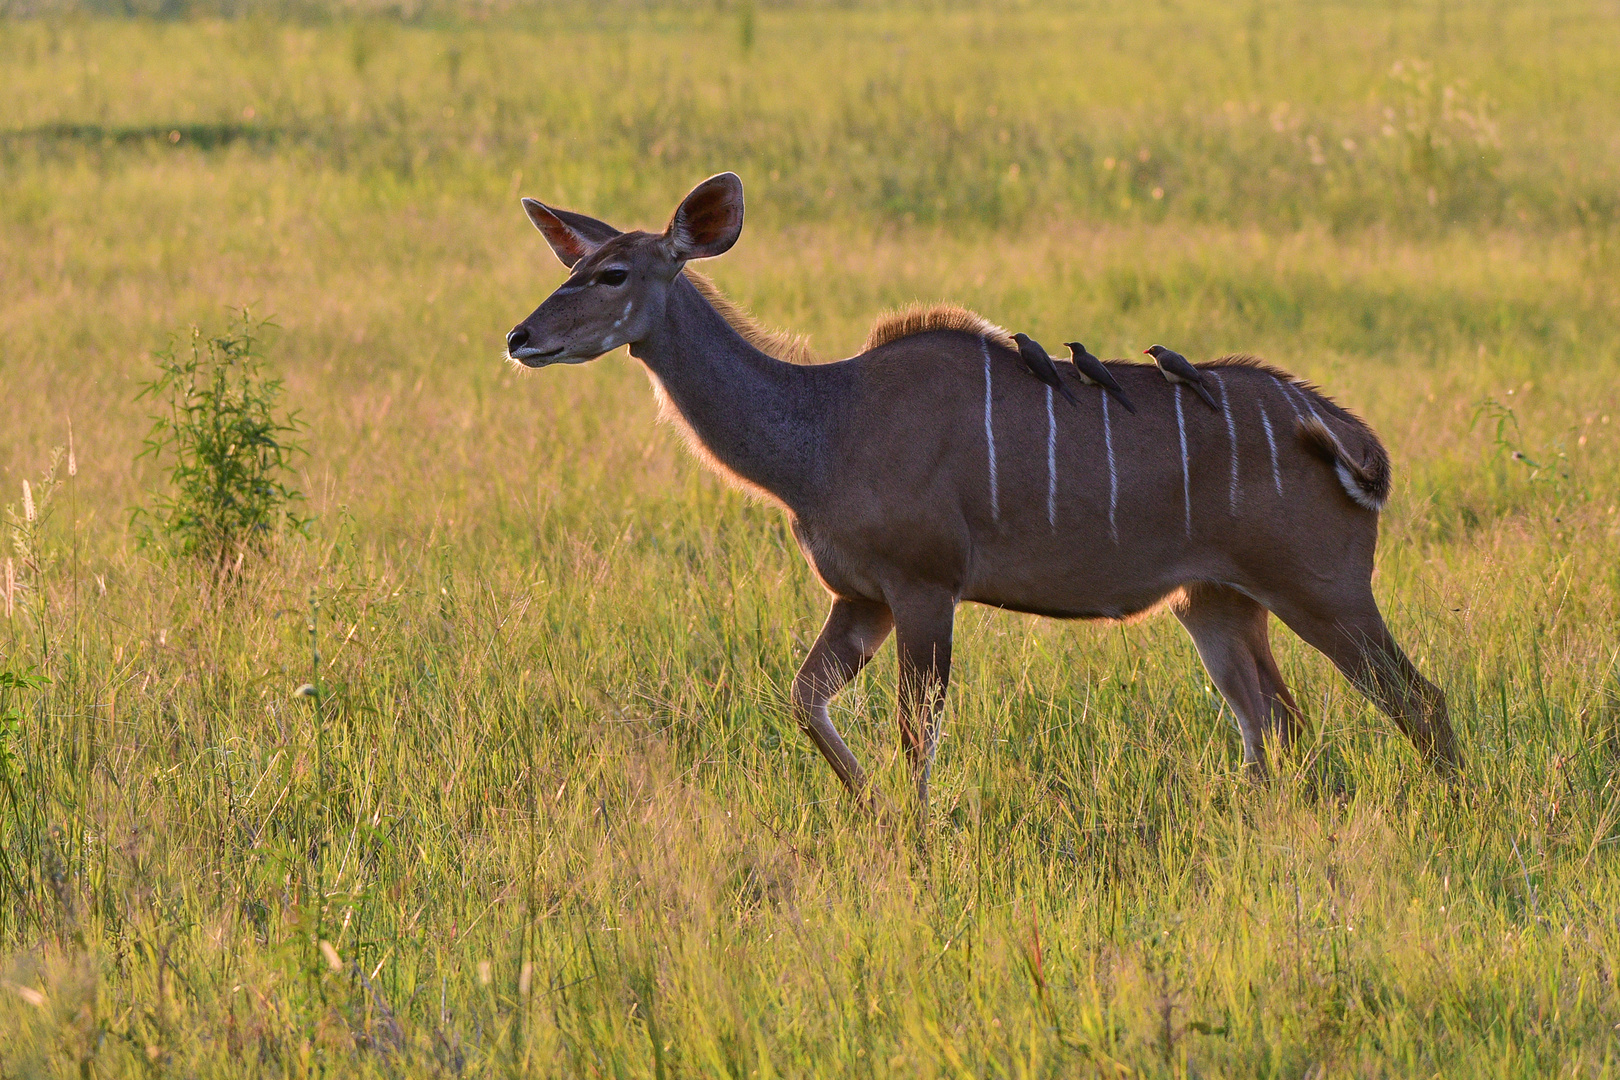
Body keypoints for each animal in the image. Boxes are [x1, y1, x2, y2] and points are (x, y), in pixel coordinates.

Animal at [508, 170, 1470, 809]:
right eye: (573, 266)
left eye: (612, 274)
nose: (520, 337)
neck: (823, 428)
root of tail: (1342, 433)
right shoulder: (862, 596)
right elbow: (805, 697)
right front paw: (870, 812)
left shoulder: (924, 586)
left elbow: (915, 732)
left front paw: (914, 834)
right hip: (1217, 602)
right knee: (1276, 721)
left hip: (1324, 589)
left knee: (1416, 700)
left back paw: (1458, 815)